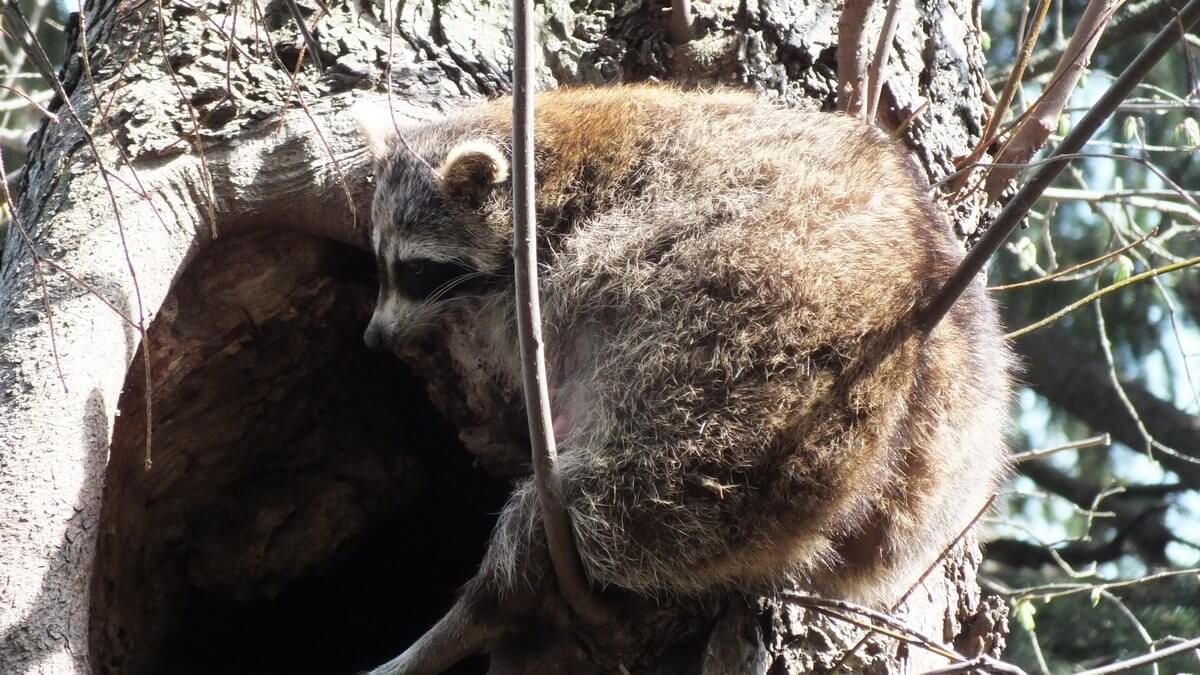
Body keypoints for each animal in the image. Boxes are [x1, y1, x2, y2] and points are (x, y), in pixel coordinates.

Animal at [350, 85, 1012, 672]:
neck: (552, 162)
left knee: (600, 494)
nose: (374, 338)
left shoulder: (566, 270)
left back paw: (483, 605)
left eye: (415, 270)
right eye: (379, 262)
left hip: (748, 349)